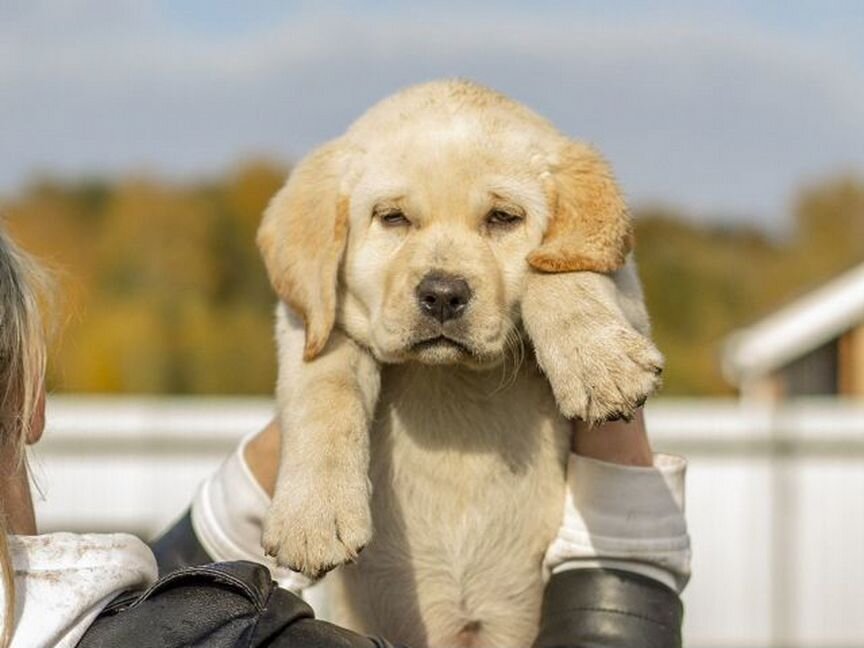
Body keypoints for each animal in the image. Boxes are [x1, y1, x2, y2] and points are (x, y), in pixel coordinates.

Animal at [256, 81, 660, 648]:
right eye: (393, 218)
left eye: (503, 219)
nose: (443, 295)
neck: (450, 376)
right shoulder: (309, 320)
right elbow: (325, 391)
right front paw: (312, 516)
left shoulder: (625, 288)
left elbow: (557, 270)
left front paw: (600, 363)